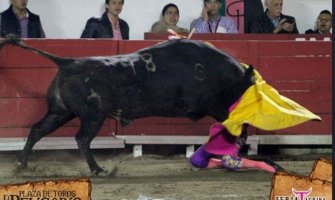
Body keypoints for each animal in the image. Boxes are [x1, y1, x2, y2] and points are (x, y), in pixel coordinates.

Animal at [0, 37, 255, 175]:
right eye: (247, 87)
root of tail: (67, 62)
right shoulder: (216, 108)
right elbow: (231, 129)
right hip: (93, 116)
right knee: (82, 138)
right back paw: (98, 170)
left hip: (60, 112)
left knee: (37, 130)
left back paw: (21, 165)